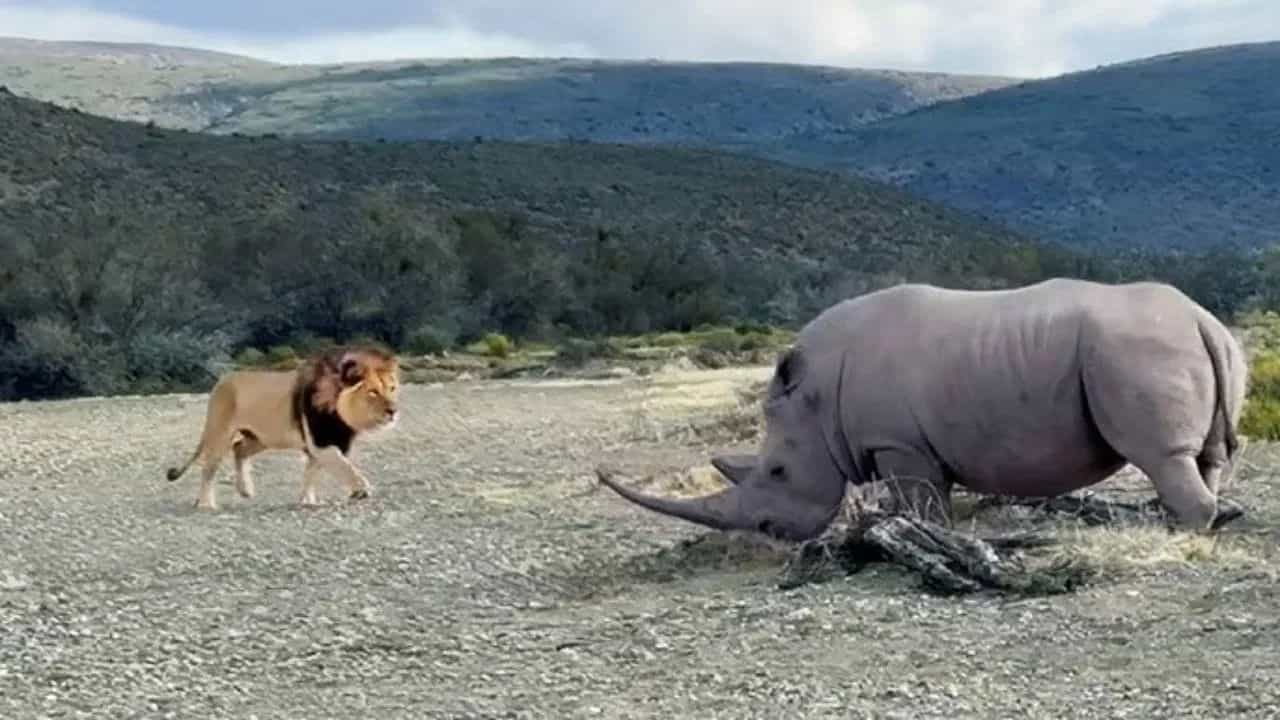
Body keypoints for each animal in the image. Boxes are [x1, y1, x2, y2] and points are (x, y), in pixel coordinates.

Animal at [165, 345, 401, 510]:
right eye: (372, 392)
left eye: (391, 388)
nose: (393, 411)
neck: (343, 412)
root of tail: (221, 381)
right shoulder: (321, 442)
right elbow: (345, 466)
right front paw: (361, 489)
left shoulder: (330, 443)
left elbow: (313, 472)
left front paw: (307, 501)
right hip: (220, 432)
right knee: (209, 468)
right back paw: (206, 504)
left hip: (261, 438)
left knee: (239, 448)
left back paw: (246, 490)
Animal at [601, 278, 1248, 542]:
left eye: (779, 471)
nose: (770, 534)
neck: (815, 396)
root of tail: (1202, 317)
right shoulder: (906, 441)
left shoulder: (898, 442)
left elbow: (922, 503)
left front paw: (922, 538)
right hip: (1198, 345)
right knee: (1206, 455)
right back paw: (1204, 521)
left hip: (1137, 349)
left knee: (1161, 455)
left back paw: (1183, 535)